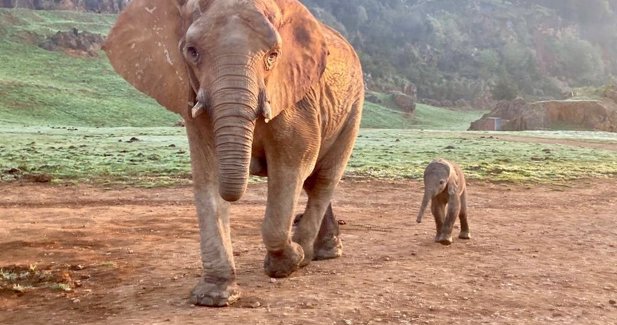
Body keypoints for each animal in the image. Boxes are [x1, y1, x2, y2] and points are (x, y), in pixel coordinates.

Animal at [103, 0, 364, 306]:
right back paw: (318, 251)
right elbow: (207, 175)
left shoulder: (296, 100)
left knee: (323, 179)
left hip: (354, 105)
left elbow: (293, 166)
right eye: (192, 52)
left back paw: (311, 254)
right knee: (315, 183)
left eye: (273, 56)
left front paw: (289, 262)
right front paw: (213, 298)